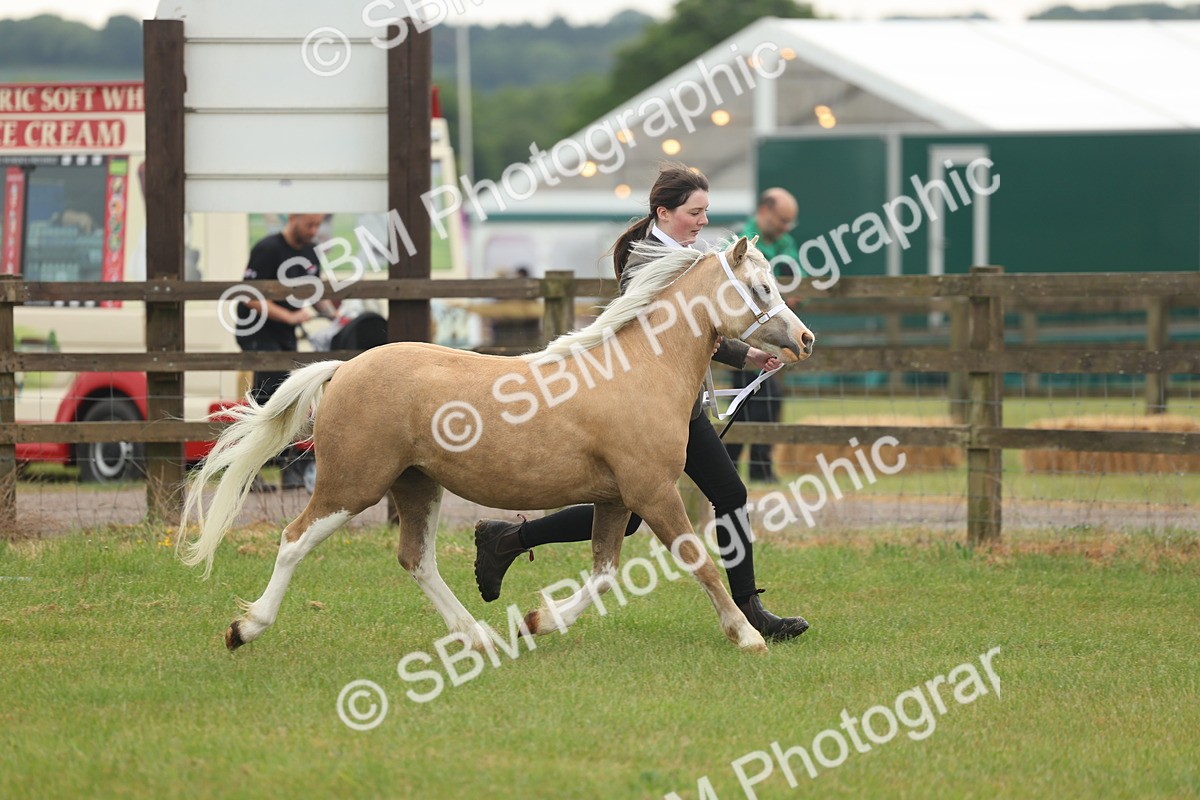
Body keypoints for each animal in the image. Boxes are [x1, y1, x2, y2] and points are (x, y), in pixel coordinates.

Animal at [178, 237, 815, 654]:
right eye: (761, 286)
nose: (805, 338)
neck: (638, 370)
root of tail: (342, 369)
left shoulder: (616, 500)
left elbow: (604, 573)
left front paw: (535, 622)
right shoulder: (652, 493)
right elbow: (699, 562)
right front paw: (748, 635)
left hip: (417, 485)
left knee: (416, 559)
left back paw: (480, 635)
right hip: (352, 485)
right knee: (294, 541)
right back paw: (245, 629)